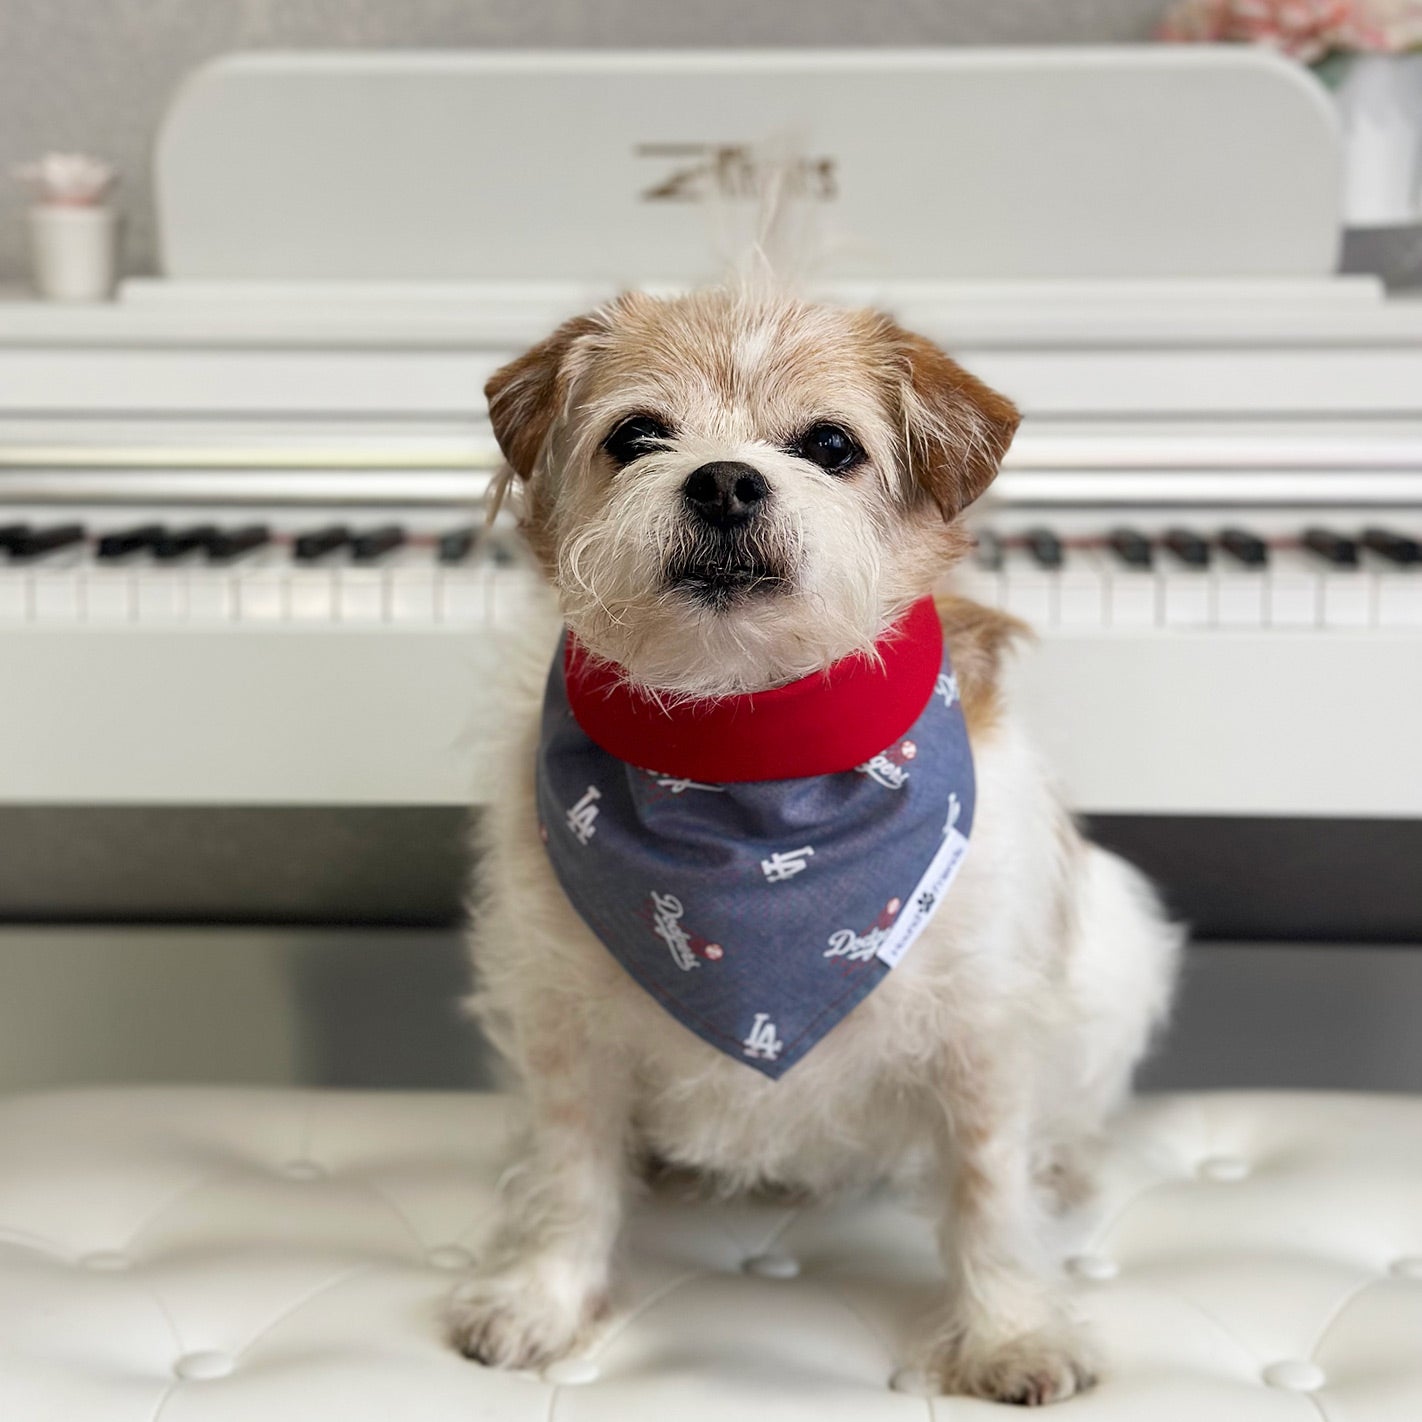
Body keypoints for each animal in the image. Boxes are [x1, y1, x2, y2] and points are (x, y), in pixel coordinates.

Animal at [449, 282, 1183, 1404]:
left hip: (1119, 944)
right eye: (637, 436)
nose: (723, 481)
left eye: (831, 445)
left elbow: (988, 1190)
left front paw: (1010, 1332)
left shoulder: (979, 1031)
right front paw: (544, 1297)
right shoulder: (562, 1016)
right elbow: (569, 1170)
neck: (743, 746)